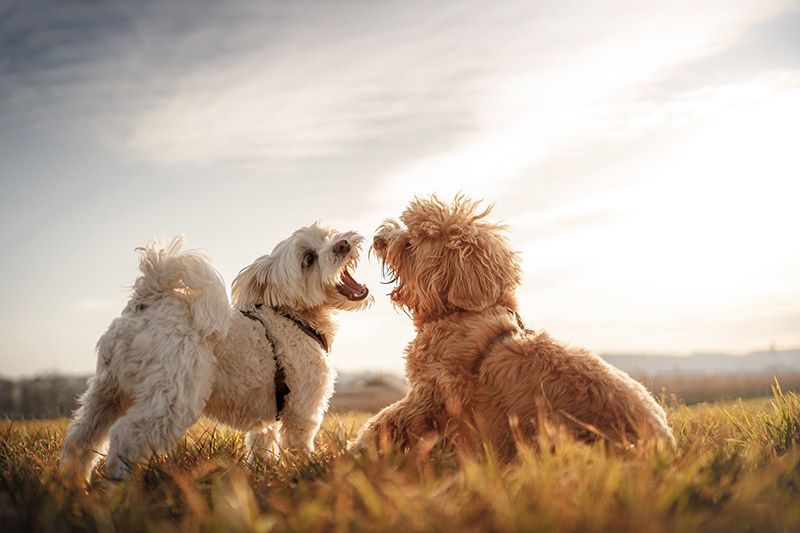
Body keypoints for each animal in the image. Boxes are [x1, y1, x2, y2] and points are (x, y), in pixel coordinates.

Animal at [61, 222, 370, 480]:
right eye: (308, 259)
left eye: (327, 235)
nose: (342, 244)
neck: (291, 317)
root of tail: (148, 300)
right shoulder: (302, 409)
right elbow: (298, 445)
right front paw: (306, 470)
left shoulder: (269, 417)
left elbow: (262, 447)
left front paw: (263, 476)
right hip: (173, 400)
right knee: (126, 437)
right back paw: (119, 491)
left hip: (106, 392)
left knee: (81, 438)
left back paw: (74, 487)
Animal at [354, 197, 672, 456]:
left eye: (414, 241)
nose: (378, 237)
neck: (460, 312)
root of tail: (665, 444)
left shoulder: (429, 394)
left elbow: (387, 420)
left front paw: (357, 448)